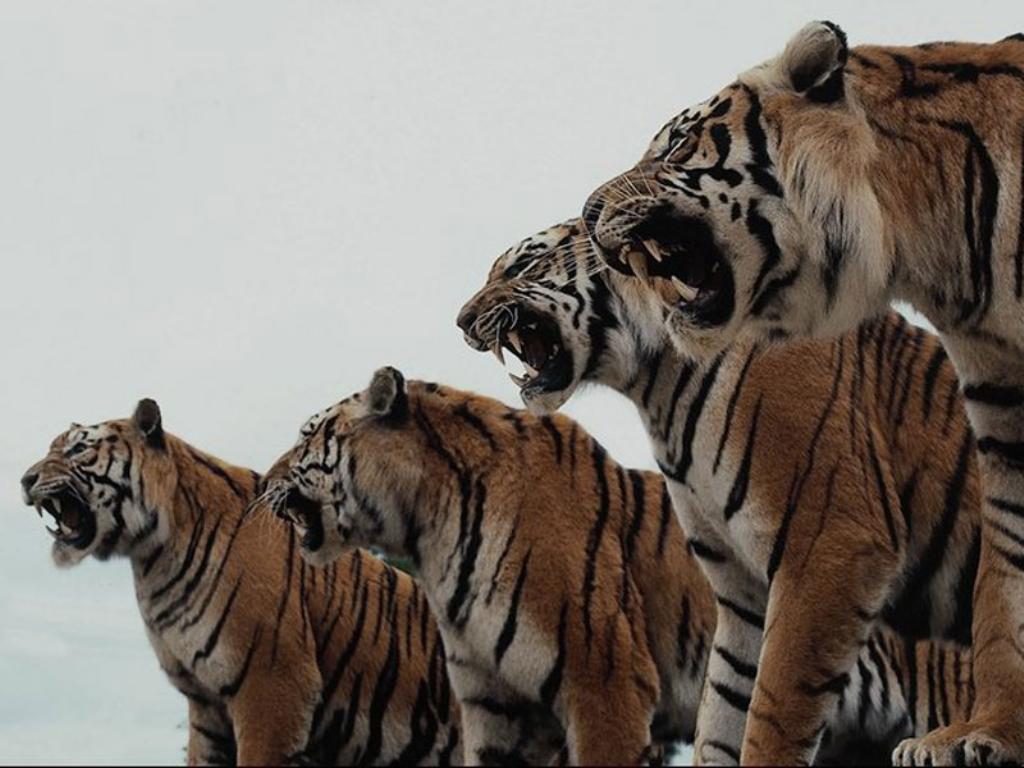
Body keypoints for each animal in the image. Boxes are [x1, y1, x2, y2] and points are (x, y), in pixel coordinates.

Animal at [457, 218, 983, 765]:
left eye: (522, 264)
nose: (462, 321)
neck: (655, 387)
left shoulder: (831, 543)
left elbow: (776, 709)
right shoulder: (740, 586)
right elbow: (727, 706)